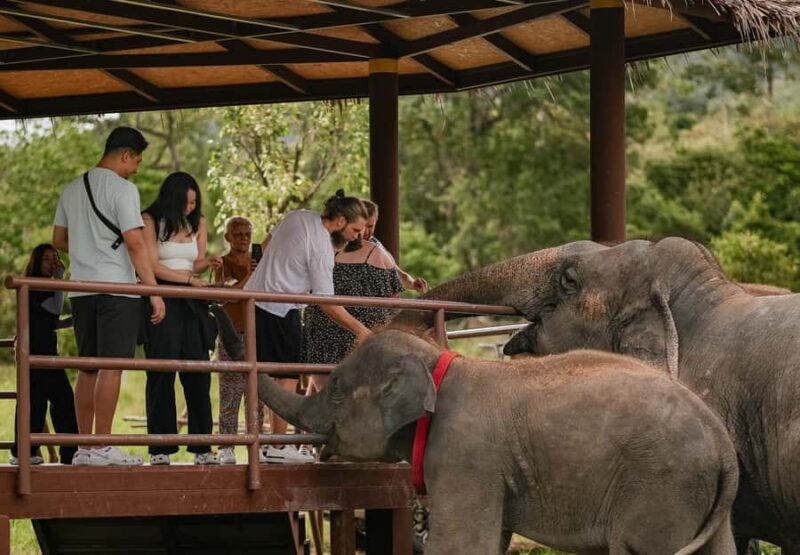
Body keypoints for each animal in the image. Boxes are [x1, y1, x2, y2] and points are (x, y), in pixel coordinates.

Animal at [211, 305, 738, 554]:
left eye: (337, 388)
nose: (217, 310)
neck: (438, 361)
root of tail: (723, 444)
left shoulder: (465, 455)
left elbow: (461, 545)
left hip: (660, 484)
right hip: (697, 495)